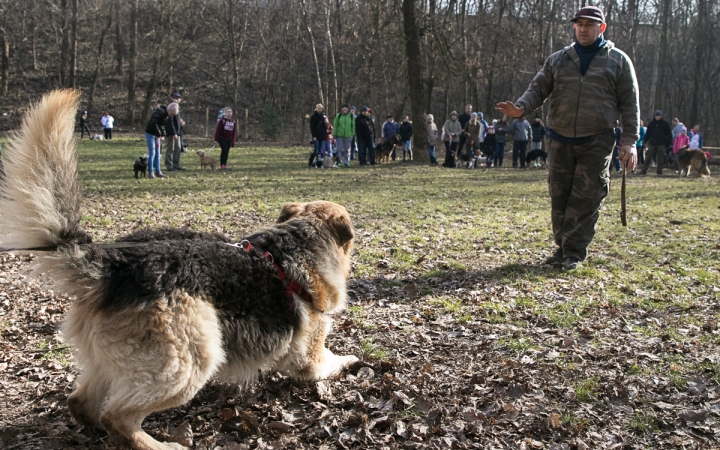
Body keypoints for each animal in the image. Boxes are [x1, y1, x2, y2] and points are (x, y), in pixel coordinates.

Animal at [0, 89, 360, 450]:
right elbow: (333, 359)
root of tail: (114, 264)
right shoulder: (310, 359)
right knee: (116, 416)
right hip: (189, 362)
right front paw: (352, 361)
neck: (296, 242)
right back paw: (158, 444)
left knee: (82, 404)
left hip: (111, 363)